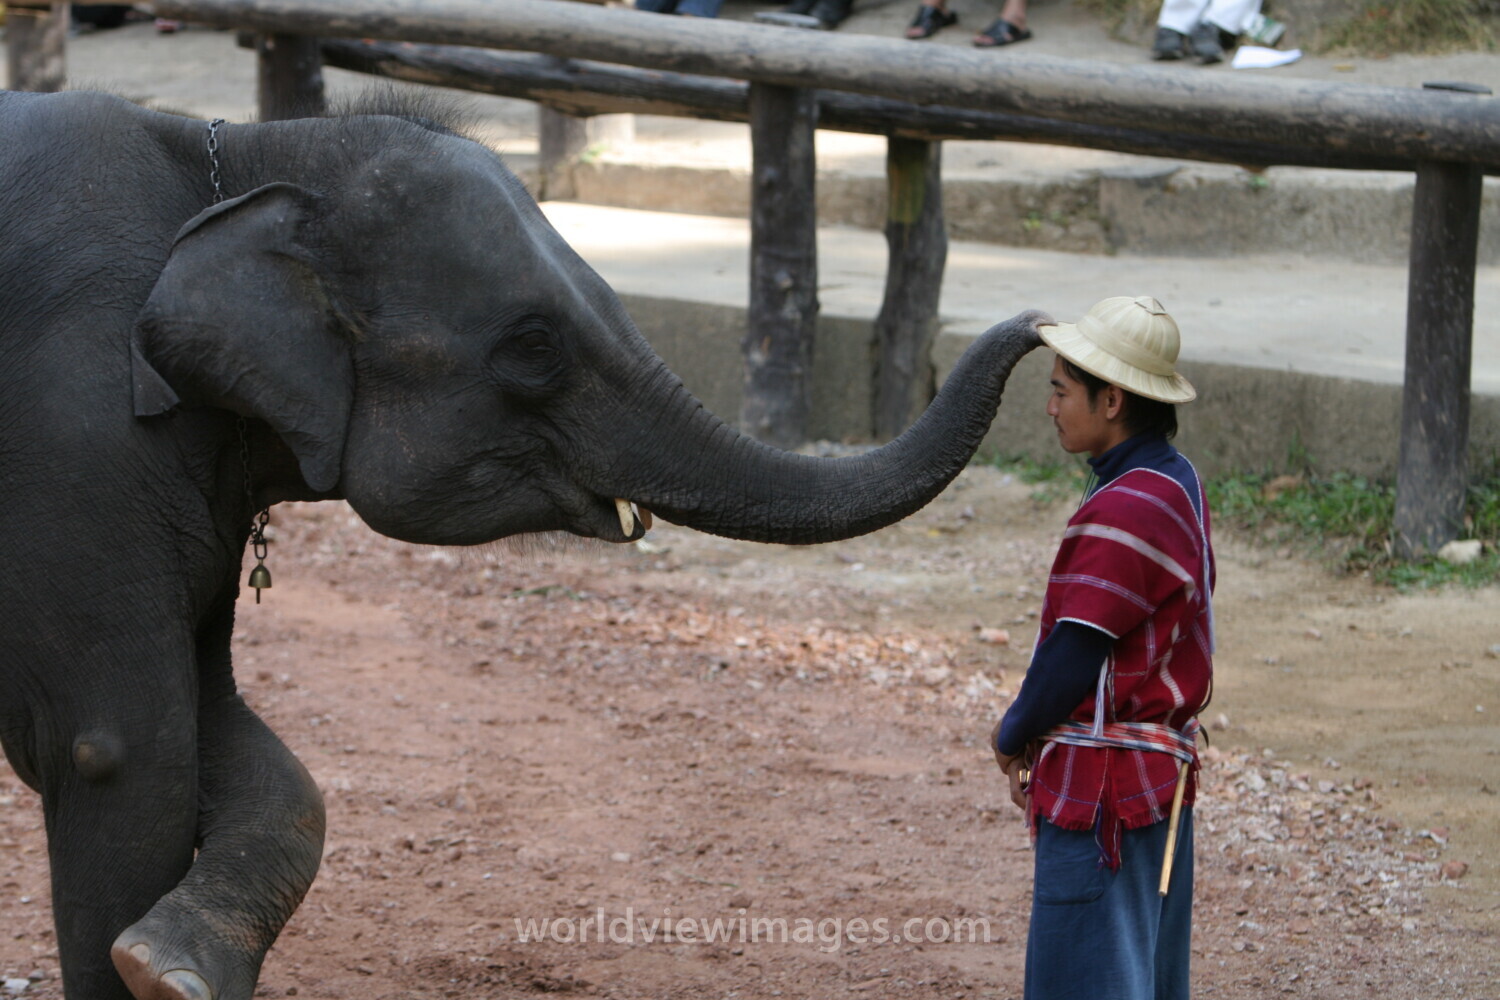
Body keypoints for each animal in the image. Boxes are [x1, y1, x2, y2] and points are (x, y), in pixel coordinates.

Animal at [0, 88, 1044, 1000]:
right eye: (534, 347)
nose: (1040, 326)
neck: (244, 156)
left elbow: (224, 726)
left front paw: (170, 967)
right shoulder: (76, 439)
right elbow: (120, 747)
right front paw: (154, 970)